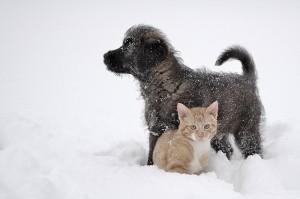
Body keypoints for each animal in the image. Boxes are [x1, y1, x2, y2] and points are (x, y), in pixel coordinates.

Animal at [104, 24, 264, 165]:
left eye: (128, 44)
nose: (105, 56)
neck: (165, 88)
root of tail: (247, 80)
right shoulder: (155, 129)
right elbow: (152, 153)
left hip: (246, 130)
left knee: (253, 149)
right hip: (218, 133)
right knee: (227, 149)